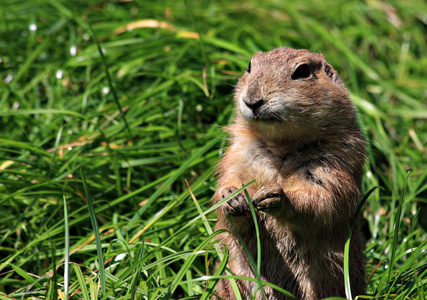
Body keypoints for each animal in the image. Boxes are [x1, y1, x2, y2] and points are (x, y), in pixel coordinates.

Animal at [212, 45, 366, 298]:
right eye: (249, 66)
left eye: (302, 71)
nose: (251, 100)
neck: (280, 146)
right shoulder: (236, 155)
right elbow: (227, 181)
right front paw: (232, 196)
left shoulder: (336, 163)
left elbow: (323, 199)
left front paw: (274, 196)